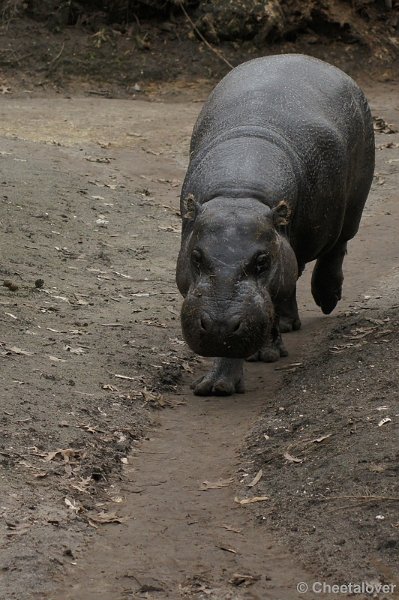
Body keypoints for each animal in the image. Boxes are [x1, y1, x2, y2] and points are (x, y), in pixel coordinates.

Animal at [177, 54, 376, 396]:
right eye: (196, 257)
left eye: (262, 261)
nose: (217, 326)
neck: (238, 192)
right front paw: (215, 384)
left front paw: (261, 357)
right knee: (291, 280)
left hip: (353, 205)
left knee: (336, 246)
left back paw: (326, 300)